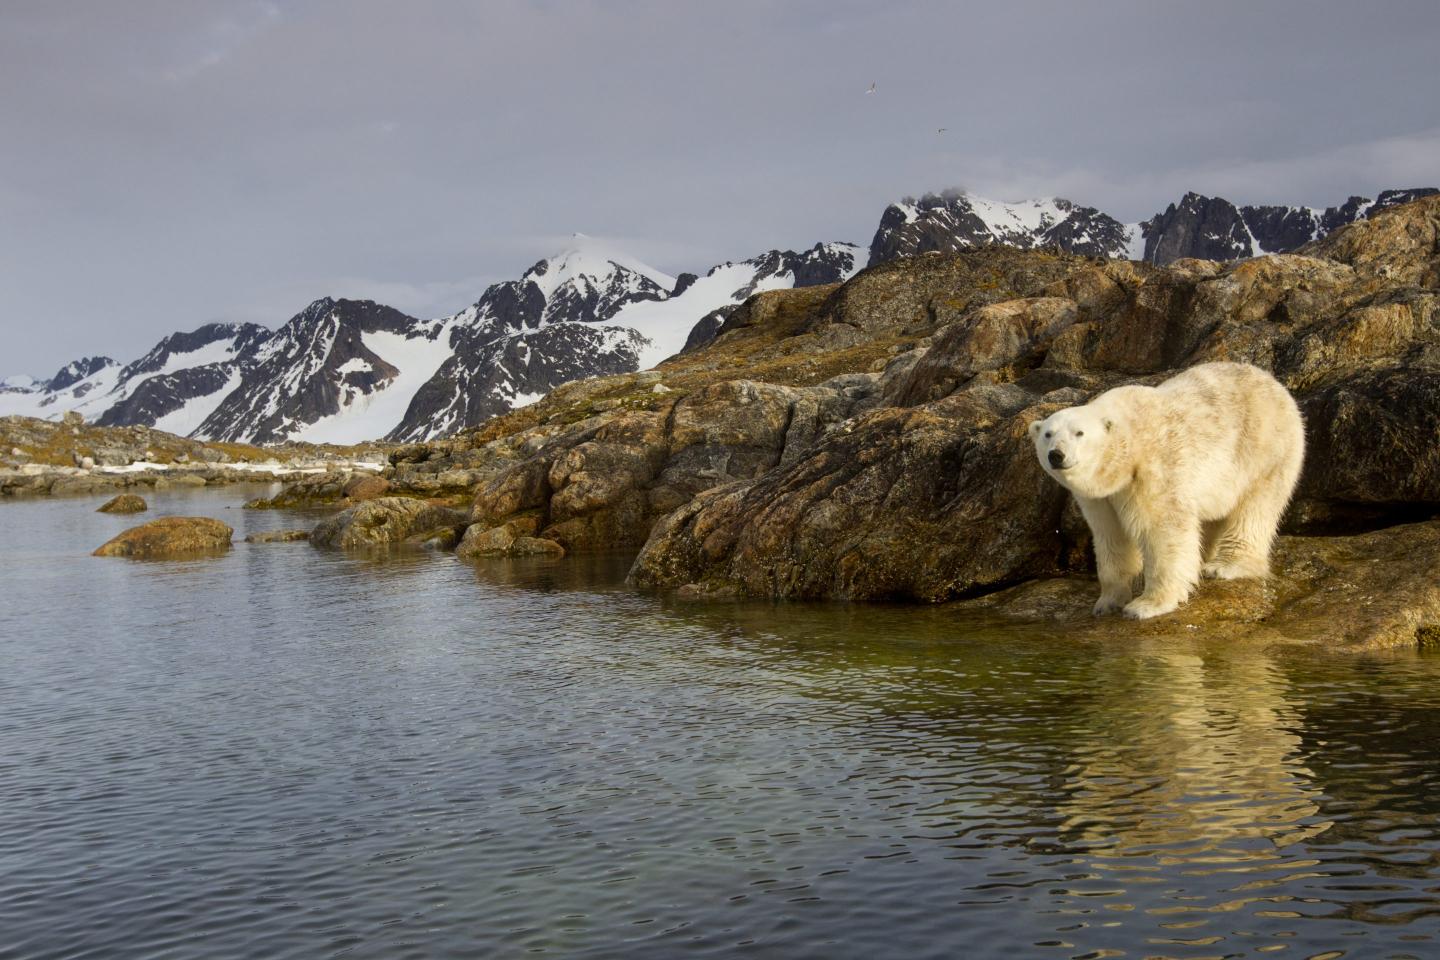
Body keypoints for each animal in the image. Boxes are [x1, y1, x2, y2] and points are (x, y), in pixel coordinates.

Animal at [1029, 361, 1305, 620]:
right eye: (1048, 434)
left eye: (1079, 433)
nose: (1057, 455)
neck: (1129, 441)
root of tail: (1274, 384)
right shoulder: (1101, 498)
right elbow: (1110, 536)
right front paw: (1107, 602)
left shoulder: (1155, 467)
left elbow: (1164, 529)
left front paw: (1146, 605)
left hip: (1263, 448)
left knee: (1254, 508)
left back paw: (1225, 565)